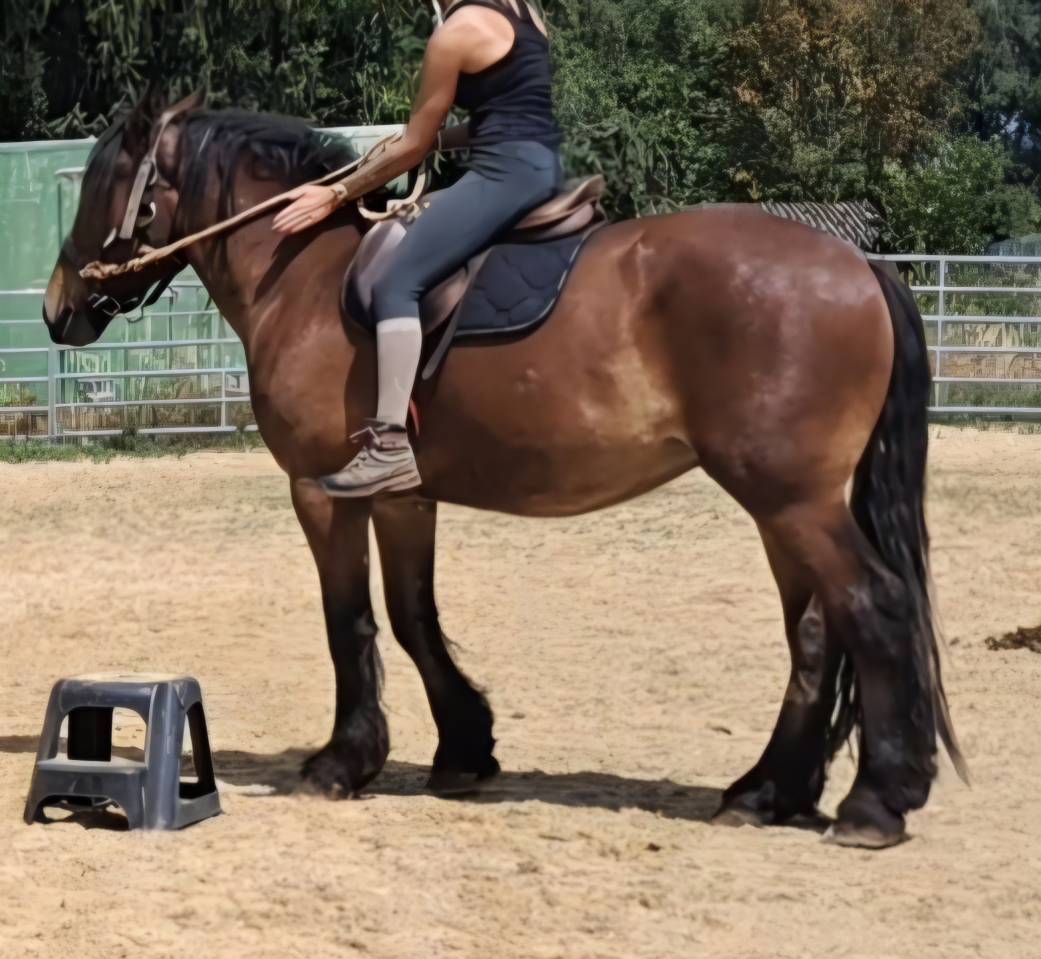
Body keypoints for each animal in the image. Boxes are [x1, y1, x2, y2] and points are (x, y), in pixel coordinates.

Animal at [42, 91, 962, 848]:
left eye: (102, 184)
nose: (58, 309)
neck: (301, 277)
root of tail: (857, 266)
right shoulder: (404, 497)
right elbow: (414, 616)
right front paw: (463, 748)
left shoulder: (320, 491)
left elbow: (350, 622)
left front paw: (342, 762)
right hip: (783, 506)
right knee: (814, 632)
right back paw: (767, 790)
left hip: (790, 499)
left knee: (872, 606)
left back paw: (875, 801)